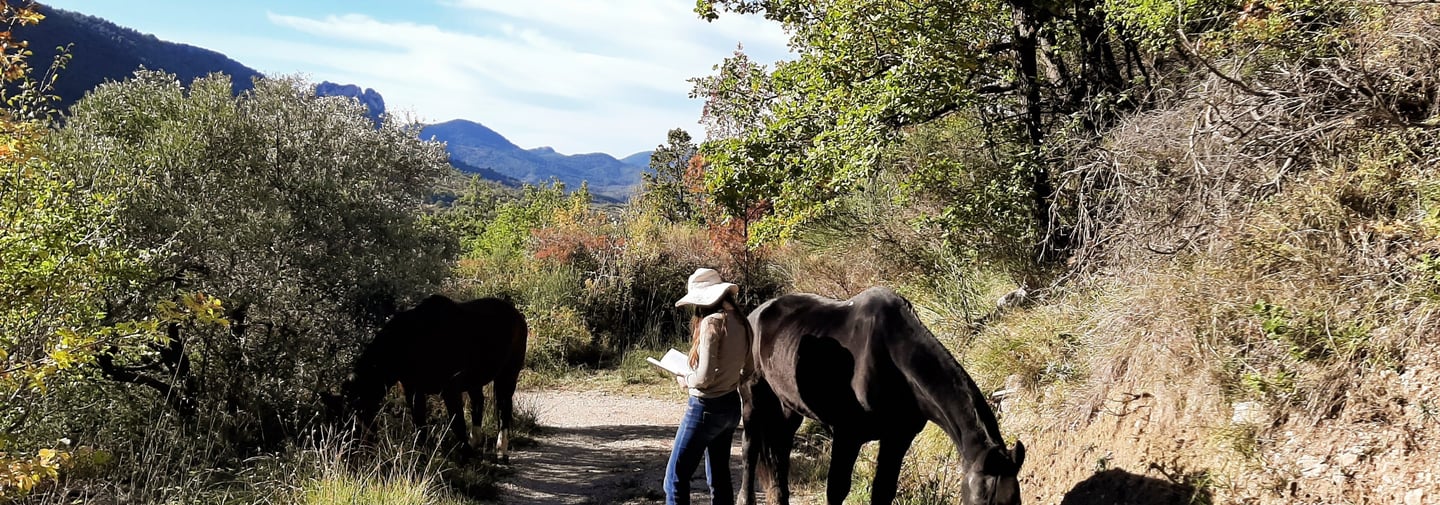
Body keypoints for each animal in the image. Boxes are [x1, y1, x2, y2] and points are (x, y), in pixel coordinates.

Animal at [339, 294, 528, 461]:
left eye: (359, 407)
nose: (354, 446)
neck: (414, 340)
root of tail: (517, 315)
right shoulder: (414, 390)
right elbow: (420, 423)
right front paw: (422, 454)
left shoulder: (450, 389)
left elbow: (457, 422)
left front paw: (465, 456)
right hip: (475, 381)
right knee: (478, 403)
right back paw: (476, 442)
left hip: (508, 374)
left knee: (503, 408)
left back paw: (501, 452)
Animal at [738, 287, 1025, 505]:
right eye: (984, 500)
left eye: (1014, 501)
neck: (891, 359)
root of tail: (755, 314)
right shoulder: (847, 434)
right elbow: (836, 490)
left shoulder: (897, 438)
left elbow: (883, 492)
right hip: (752, 400)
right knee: (750, 449)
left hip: (789, 407)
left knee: (780, 450)